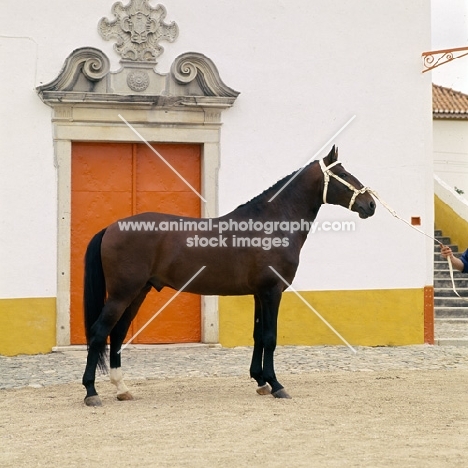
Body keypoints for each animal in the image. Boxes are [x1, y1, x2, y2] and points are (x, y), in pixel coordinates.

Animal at [80, 146, 374, 406]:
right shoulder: (272, 291)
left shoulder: (259, 294)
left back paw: (122, 388)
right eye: (343, 174)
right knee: (99, 332)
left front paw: (261, 381)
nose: (370, 204)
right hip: (122, 294)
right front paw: (276, 385)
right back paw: (91, 392)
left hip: (138, 292)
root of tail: (110, 228)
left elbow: (258, 335)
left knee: (117, 334)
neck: (271, 223)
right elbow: (270, 337)